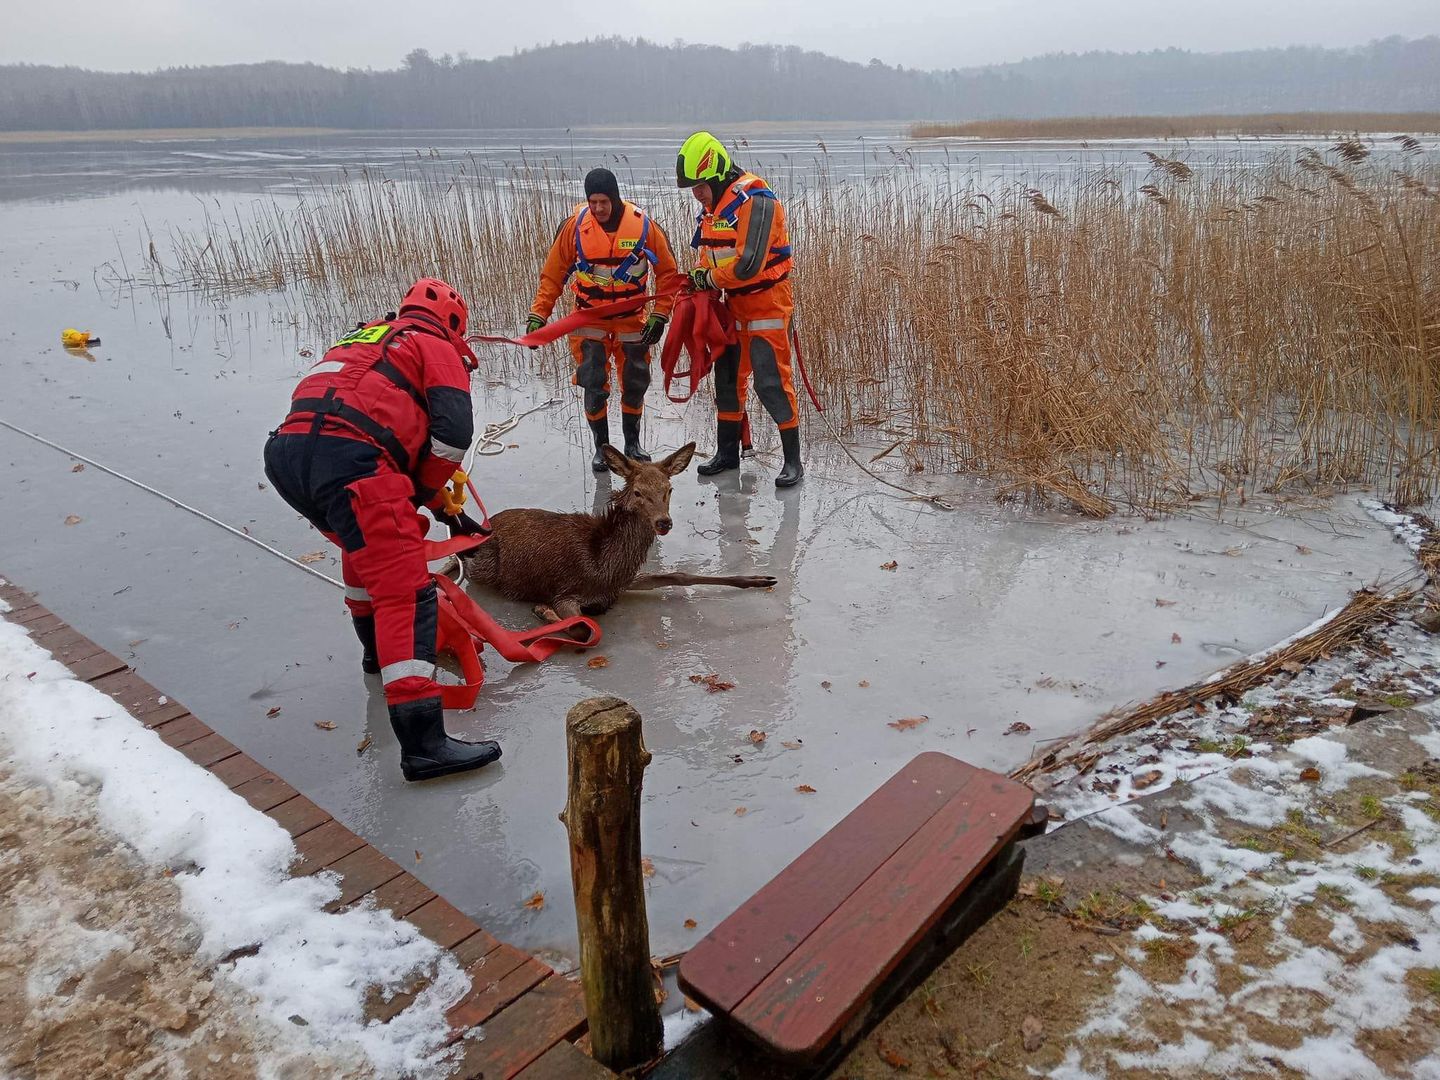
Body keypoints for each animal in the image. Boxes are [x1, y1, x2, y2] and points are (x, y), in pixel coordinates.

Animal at [460, 440, 777, 624]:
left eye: (669, 489)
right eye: (637, 492)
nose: (664, 522)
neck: (604, 564)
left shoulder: (621, 581)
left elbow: (677, 575)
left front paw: (758, 579)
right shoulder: (566, 591)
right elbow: (581, 626)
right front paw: (543, 611)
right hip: (484, 567)